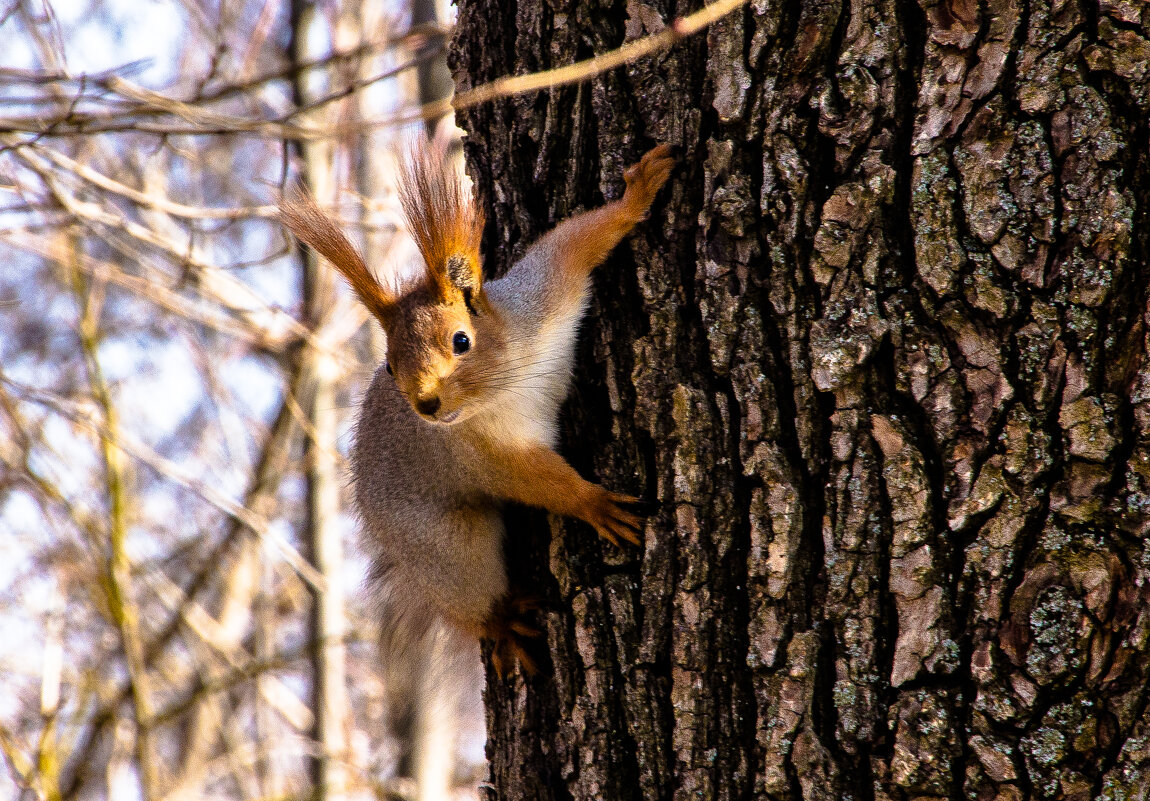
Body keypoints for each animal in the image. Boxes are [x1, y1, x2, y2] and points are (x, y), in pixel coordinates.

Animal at [280, 141, 671, 666]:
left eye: (461, 340)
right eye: (389, 366)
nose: (425, 404)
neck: (509, 382)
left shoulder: (543, 296)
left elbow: (575, 241)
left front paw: (637, 194)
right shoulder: (479, 451)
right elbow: (537, 482)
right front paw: (594, 503)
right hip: (446, 547)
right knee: (469, 595)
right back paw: (501, 623)